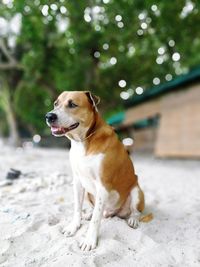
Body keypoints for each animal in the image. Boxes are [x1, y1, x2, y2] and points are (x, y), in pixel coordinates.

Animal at [45, 91, 152, 251]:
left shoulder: (103, 185)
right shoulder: (77, 181)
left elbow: (96, 219)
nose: (49, 116)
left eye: (72, 104)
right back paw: (88, 213)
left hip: (136, 191)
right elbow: (77, 208)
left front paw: (89, 240)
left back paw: (133, 219)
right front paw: (73, 226)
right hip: (88, 194)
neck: (83, 142)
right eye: (55, 104)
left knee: (135, 211)